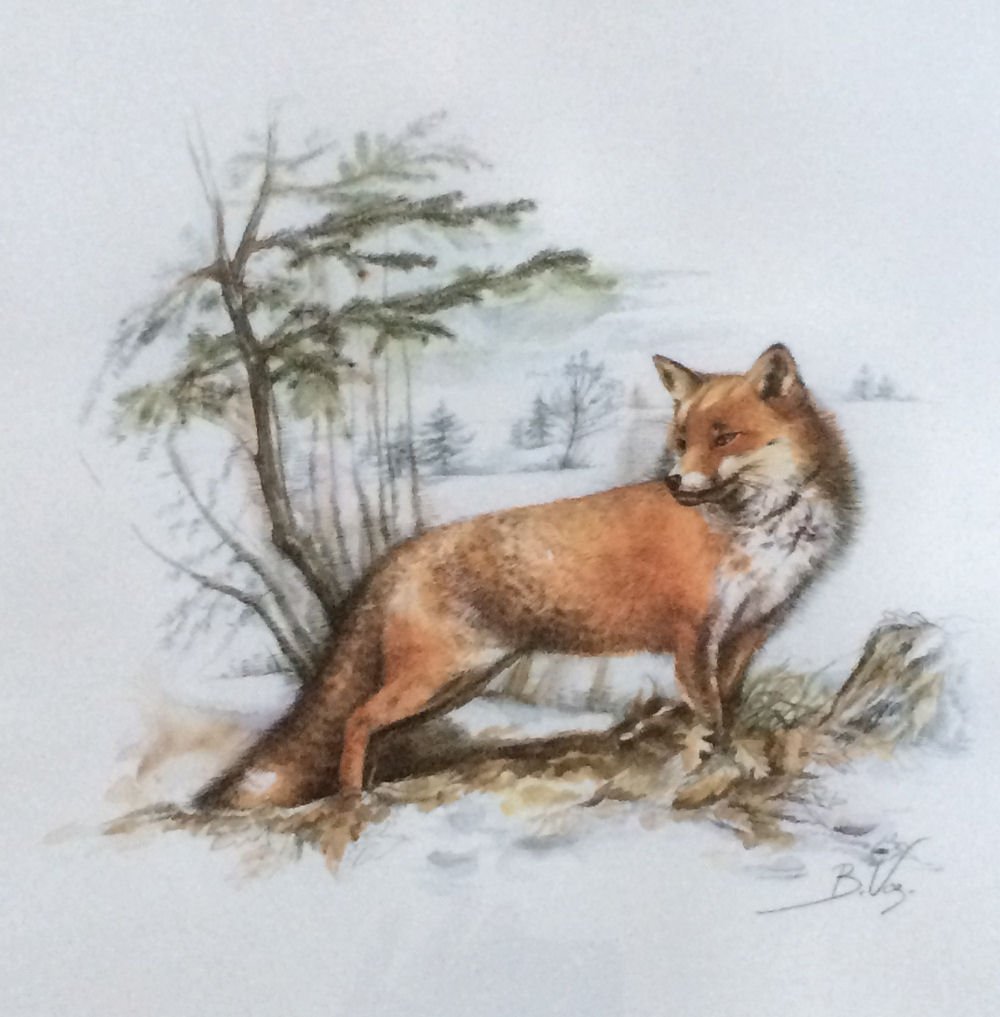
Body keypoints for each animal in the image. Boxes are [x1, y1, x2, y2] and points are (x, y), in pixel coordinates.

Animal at [196, 343, 858, 810]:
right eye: (680, 440)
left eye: (724, 437)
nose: (674, 482)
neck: (762, 530)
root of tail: (399, 553)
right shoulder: (693, 633)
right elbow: (712, 713)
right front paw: (722, 761)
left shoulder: (752, 628)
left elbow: (731, 701)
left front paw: (730, 751)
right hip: (438, 676)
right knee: (357, 720)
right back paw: (352, 799)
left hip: (456, 683)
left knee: (374, 727)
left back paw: (375, 788)